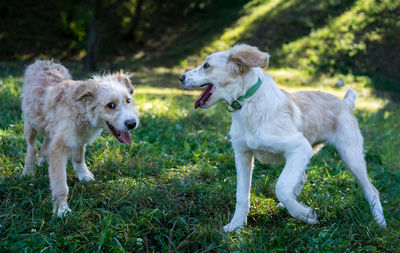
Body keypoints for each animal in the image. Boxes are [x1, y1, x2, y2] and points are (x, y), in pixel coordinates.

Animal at [23, 59, 140, 215]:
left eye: (128, 100)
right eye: (111, 105)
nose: (132, 124)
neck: (80, 112)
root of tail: (43, 61)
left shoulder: (79, 138)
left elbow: (79, 158)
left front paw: (84, 175)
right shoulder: (59, 147)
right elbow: (60, 183)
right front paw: (61, 208)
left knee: (45, 142)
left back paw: (42, 159)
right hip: (30, 124)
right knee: (31, 147)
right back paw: (28, 171)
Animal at [180, 44, 386, 231]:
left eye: (206, 65)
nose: (181, 77)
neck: (248, 105)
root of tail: (345, 103)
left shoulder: (299, 146)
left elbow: (281, 186)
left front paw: (306, 215)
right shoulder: (243, 154)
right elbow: (242, 195)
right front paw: (236, 225)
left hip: (350, 155)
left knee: (372, 190)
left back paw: (380, 224)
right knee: (301, 178)